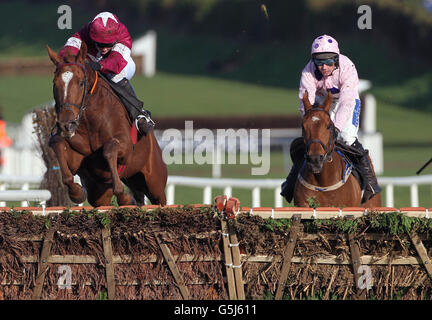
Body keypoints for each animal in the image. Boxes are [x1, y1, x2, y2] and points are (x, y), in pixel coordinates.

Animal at [46, 42, 167, 206]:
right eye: (55, 83)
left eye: (81, 83)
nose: (66, 124)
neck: (90, 120)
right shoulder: (78, 160)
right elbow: (57, 143)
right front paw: (76, 192)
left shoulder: (126, 146)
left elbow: (109, 148)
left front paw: (123, 196)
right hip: (103, 192)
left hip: (155, 184)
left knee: (160, 200)